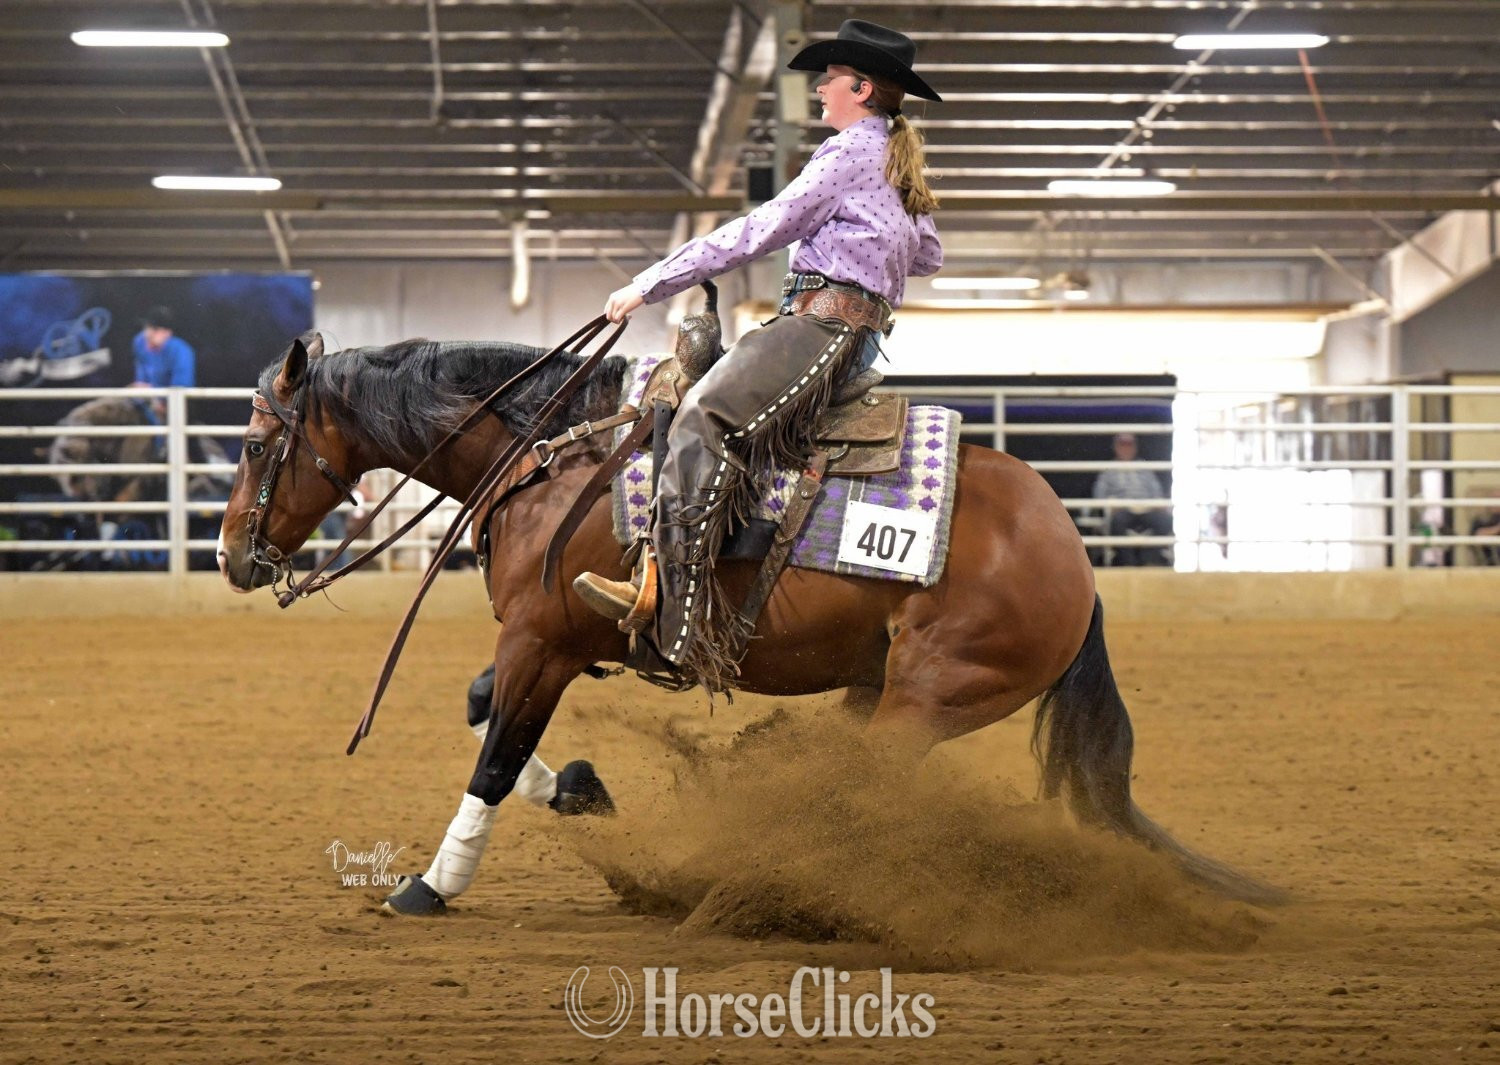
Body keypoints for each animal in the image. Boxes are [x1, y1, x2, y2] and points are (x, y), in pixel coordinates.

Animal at [217, 332, 1278, 915]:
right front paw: (583, 790)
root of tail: (1076, 563)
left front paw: (431, 884)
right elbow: (488, 715)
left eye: (257, 443)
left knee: (858, 801)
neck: (550, 457)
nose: (233, 556)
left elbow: (495, 755)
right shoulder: (554, 644)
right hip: (875, 688)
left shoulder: (541, 642)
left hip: (929, 697)